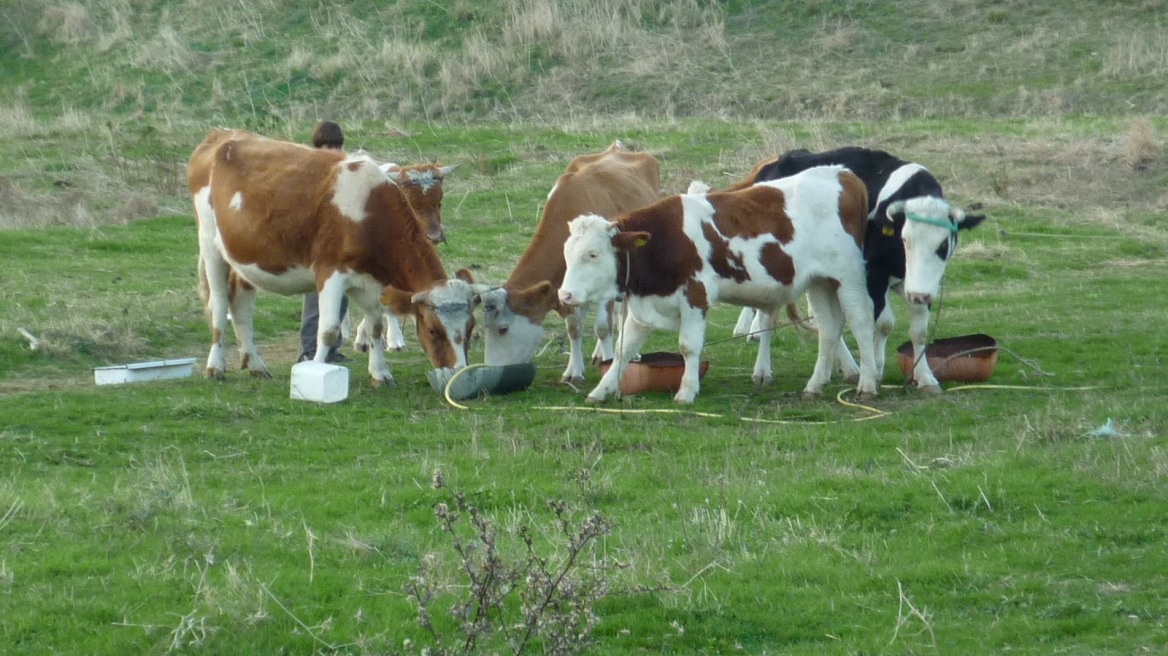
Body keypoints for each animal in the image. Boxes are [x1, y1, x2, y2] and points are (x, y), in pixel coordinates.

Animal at [189, 127, 481, 382]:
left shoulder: (372, 279)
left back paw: (256, 365)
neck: (369, 212)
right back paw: (215, 367)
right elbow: (328, 331)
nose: (459, 371)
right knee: (219, 303)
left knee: (241, 304)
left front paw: (380, 374)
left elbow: (375, 325)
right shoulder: (330, 273)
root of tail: (220, 134)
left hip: (245, 255)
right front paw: (315, 373)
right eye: (433, 330)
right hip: (210, 245)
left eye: (470, 327)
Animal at [474, 140, 658, 380]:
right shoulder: (566, 290)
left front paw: (609, 362)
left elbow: (603, 327)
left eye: (502, 329)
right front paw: (574, 370)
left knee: (622, 312)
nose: (491, 372)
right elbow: (574, 328)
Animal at [555, 165, 878, 401]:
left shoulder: (695, 297)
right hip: (820, 283)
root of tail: (842, 174)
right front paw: (601, 391)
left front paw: (686, 392)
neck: (663, 239)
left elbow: (688, 346)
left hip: (848, 277)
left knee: (861, 323)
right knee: (829, 329)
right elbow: (624, 350)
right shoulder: (647, 303)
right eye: (567, 253)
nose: (565, 294)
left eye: (593, 254)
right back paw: (815, 385)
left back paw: (868, 383)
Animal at [728, 145, 985, 389]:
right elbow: (883, 323)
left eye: (944, 244)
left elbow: (919, 329)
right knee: (768, 318)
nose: (919, 294)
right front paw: (876, 371)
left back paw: (846, 368)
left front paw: (925, 378)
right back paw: (763, 370)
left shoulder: (918, 283)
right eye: (905, 240)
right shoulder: (874, 275)